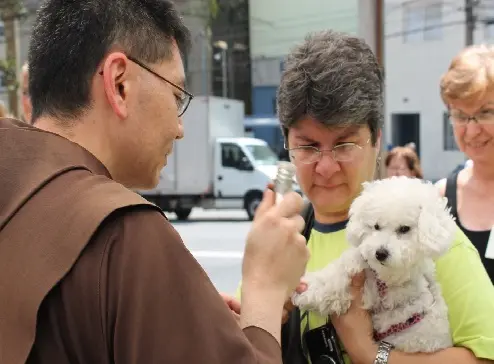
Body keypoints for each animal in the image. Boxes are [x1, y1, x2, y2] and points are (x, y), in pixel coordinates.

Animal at [292, 176, 458, 352]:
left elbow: (336, 288)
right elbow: (340, 269)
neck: (381, 276)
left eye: (404, 229)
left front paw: (308, 291)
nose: (380, 253)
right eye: (376, 226)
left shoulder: (371, 292)